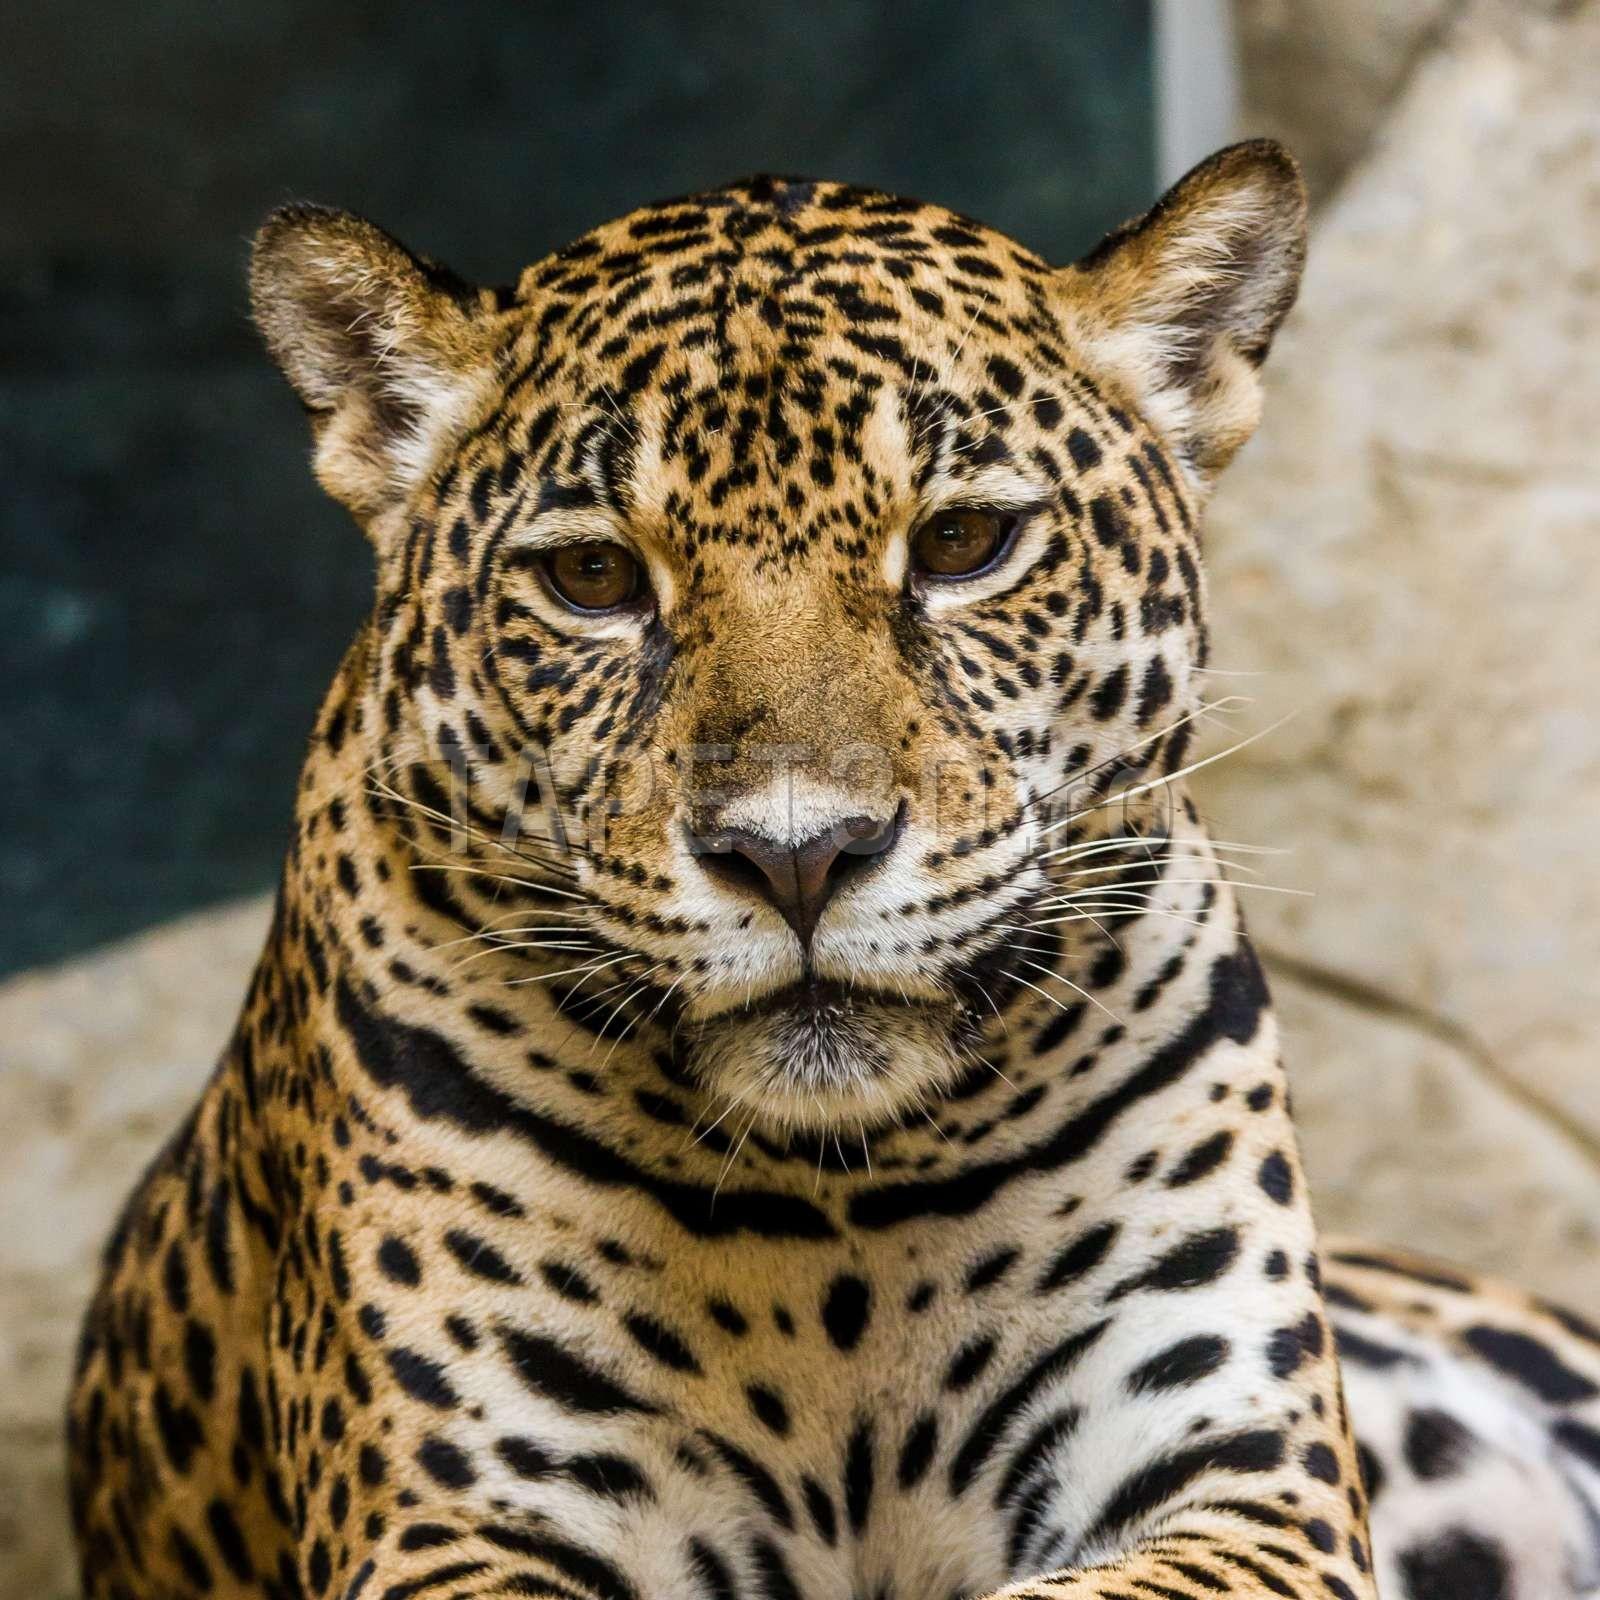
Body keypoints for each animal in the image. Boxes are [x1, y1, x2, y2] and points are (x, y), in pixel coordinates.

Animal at [66, 140, 1600, 1600]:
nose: (796, 854)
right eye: (592, 579)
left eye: (966, 543)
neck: (839, 1215)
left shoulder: (1246, 1485)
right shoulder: (459, 1525)